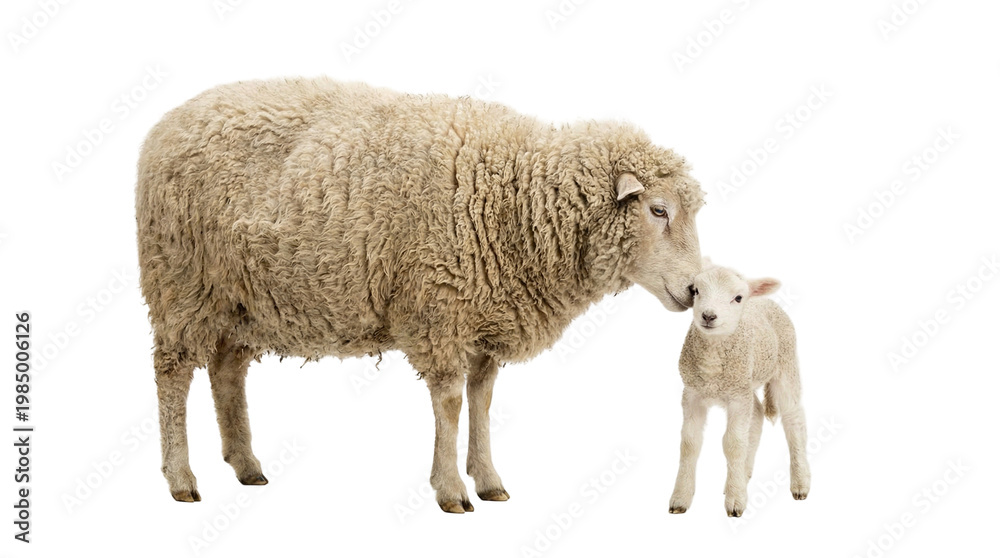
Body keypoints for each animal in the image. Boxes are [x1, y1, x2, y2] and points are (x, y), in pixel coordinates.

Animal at [135, 77, 706, 512]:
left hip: (239, 299)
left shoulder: (482, 320)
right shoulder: (439, 311)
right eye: (657, 210)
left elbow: (482, 399)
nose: (695, 289)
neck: (511, 201)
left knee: (227, 372)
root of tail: (166, 123)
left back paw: (246, 464)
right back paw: (181, 478)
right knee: (172, 375)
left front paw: (488, 478)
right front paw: (451, 490)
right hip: (180, 285)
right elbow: (450, 403)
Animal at [668, 261, 810, 517]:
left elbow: (733, 444)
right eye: (696, 290)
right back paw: (744, 474)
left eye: (737, 298)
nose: (708, 315)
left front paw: (735, 502)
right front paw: (681, 498)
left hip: (785, 364)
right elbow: (689, 443)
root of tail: (765, 300)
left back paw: (800, 483)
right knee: (757, 416)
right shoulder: (692, 392)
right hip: (745, 382)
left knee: (794, 420)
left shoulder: (736, 397)